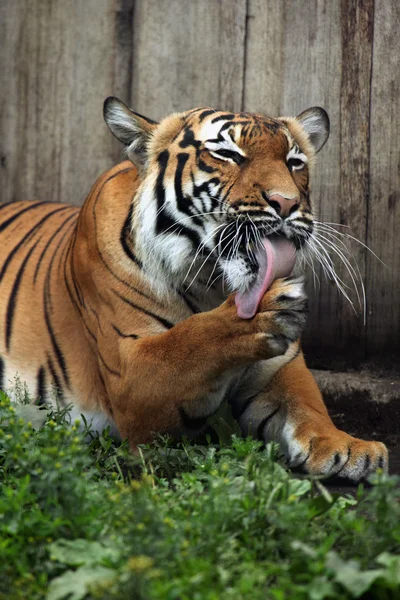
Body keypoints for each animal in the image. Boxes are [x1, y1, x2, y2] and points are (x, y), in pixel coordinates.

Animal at [0, 99, 388, 482]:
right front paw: (259, 312)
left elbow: (307, 406)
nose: (287, 203)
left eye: (295, 162)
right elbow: (191, 341)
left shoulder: (278, 369)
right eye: (229, 154)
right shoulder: (131, 378)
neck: (212, 284)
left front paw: (350, 447)